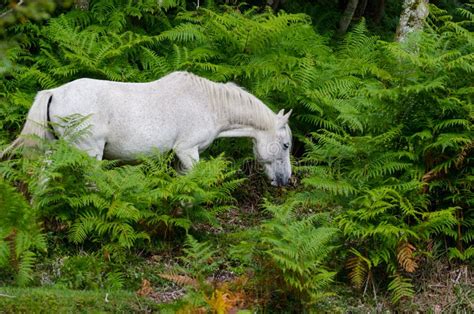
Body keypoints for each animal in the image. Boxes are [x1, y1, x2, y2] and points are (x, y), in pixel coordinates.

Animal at [4, 71, 292, 186]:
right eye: (286, 144)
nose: (286, 180)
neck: (209, 103)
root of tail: (55, 92)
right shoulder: (188, 151)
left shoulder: (180, 157)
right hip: (89, 153)